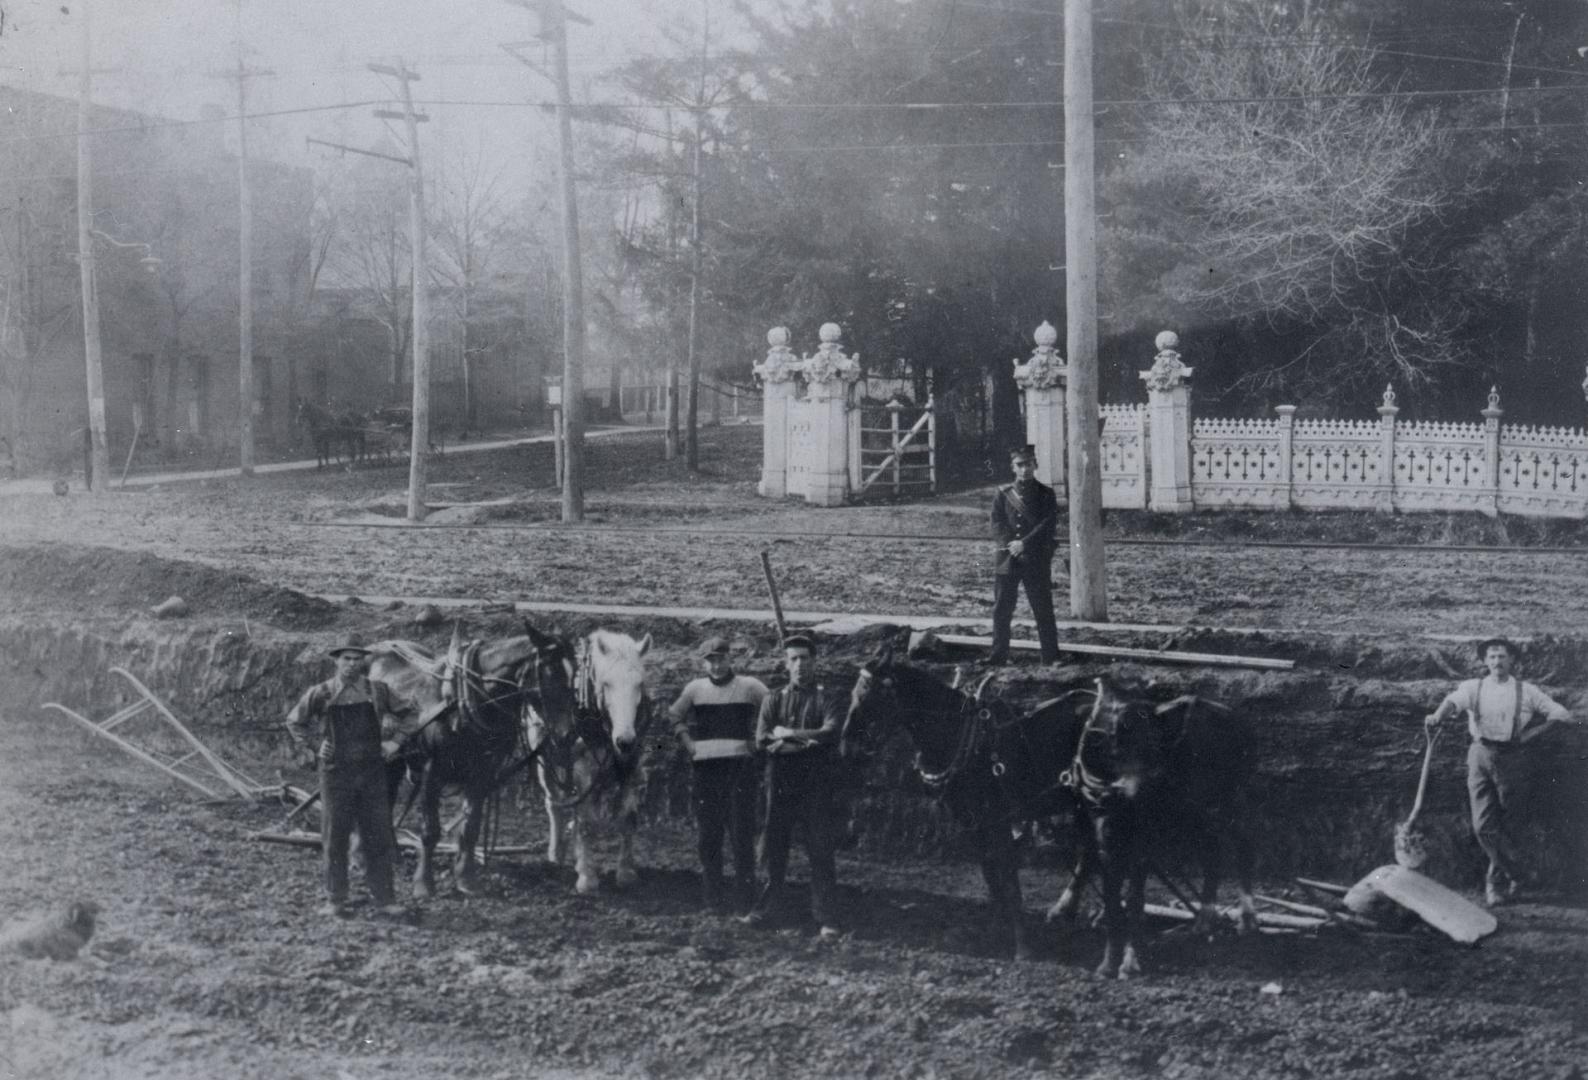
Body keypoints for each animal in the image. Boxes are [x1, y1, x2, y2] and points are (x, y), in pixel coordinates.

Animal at [368, 619, 581, 895]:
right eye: (550, 671)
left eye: (575, 673)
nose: (568, 733)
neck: (463, 702)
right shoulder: (431, 769)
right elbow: (430, 830)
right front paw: (424, 883)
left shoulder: (483, 771)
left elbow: (471, 827)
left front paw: (466, 878)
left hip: (393, 758)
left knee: (386, 798)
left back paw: (391, 851)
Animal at [530, 628, 654, 889]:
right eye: (606, 683)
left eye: (639, 684)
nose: (625, 740)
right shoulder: (582, 772)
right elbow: (585, 822)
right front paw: (587, 877)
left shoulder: (632, 766)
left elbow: (628, 818)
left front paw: (626, 872)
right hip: (546, 764)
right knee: (554, 804)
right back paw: (556, 854)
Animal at [838, 638, 1098, 959]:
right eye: (854, 694)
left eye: (872, 697)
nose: (847, 748)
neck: (961, 737)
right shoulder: (971, 821)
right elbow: (991, 877)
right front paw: (997, 928)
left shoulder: (996, 819)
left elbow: (1008, 880)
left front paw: (1022, 946)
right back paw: (1077, 911)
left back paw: (1069, 909)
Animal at [1060, 679, 1257, 984]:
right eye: (1112, 731)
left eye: (1155, 746)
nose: (1139, 790)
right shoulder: (1105, 836)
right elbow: (1112, 898)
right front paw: (1106, 965)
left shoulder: (1142, 842)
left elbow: (1135, 901)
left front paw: (1130, 964)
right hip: (1196, 813)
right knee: (1212, 852)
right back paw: (1204, 921)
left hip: (1233, 799)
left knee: (1243, 845)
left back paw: (1247, 921)